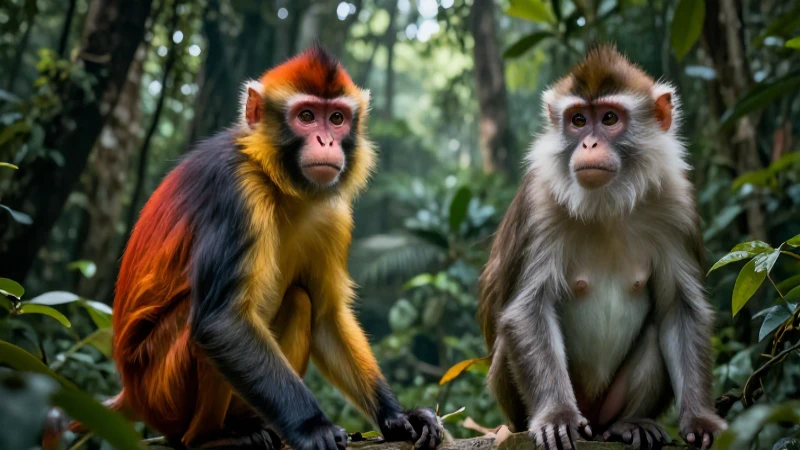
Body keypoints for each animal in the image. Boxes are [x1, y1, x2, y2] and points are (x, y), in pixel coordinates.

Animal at [99, 46, 442, 450]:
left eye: (336, 118)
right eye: (306, 116)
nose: (326, 141)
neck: (280, 182)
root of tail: (132, 391)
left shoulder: (333, 214)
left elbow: (325, 316)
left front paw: (398, 416)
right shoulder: (235, 189)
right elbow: (222, 322)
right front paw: (313, 427)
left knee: (299, 300)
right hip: (162, 389)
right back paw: (213, 435)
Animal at [477, 45, 727, 450]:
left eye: (609, 118)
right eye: (578, 120)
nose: (589, 143)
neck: (607, 203)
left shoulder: (677, 203)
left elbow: (680, 309)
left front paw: (701, 419)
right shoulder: (538, 201)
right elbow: (527, 309)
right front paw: (556, 416)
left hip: (606, 407)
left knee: (655, 335)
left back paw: (628, 424)